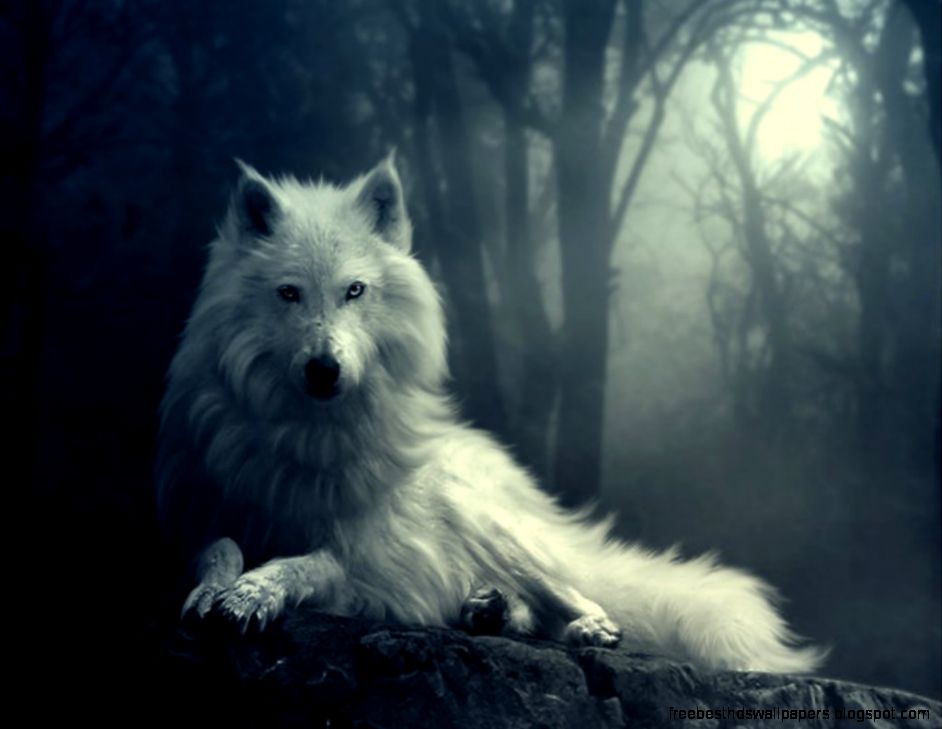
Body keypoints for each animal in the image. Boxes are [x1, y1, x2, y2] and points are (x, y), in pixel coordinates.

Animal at [156, 156, 824, 673]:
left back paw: (580, 627)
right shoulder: (198, 512)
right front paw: (215, 590)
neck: (308, 434)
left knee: (579, 595)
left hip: (492, 526)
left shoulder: (370, 558)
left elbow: (306, 563)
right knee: (521, 605)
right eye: (289, 293)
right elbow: (218, 547)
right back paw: (488, 610)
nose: (325, 370)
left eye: (355, 291)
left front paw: (254, 592)